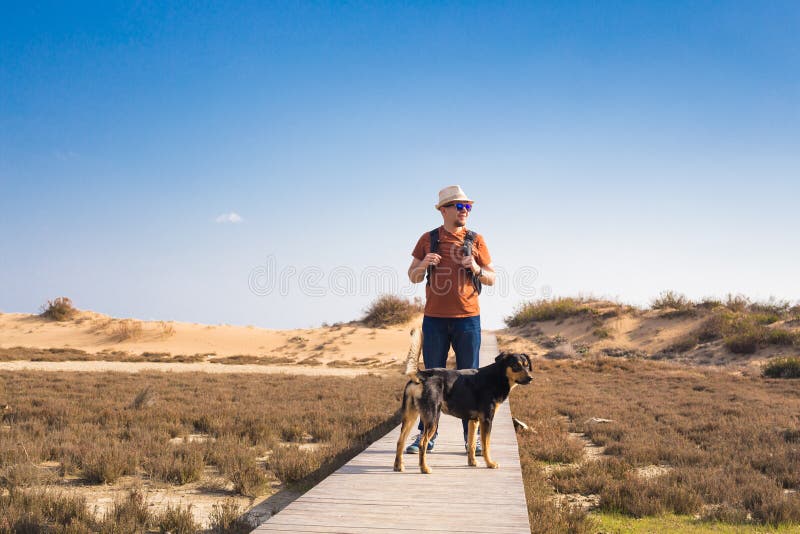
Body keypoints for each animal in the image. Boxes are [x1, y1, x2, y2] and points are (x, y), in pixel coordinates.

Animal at [392, 328, 532, 476]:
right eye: (516, 366)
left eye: (527, 365)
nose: (530, 378)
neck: (498, 376)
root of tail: (422, 375)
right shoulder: (487, 420)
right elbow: (486, 445)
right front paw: (490, 463)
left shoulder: (473, 421)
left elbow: (471, 444)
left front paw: (472, 462)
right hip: (433, 418)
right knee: (422, 443)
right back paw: (424, 468)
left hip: (410, 416)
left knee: (400, 441)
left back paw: (398, 466)